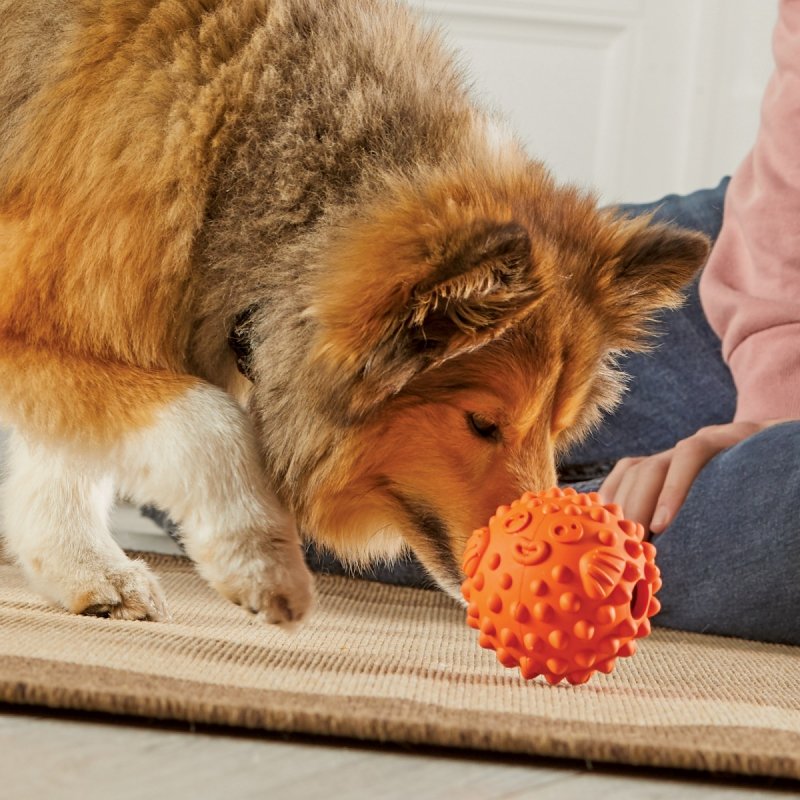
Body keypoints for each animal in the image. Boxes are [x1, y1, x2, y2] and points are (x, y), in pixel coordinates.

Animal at [0, 0, 708, 624]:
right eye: (481, 423)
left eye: (557, 433)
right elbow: (209, 418)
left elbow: (65, 455)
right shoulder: (44, 308)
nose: (588, 584)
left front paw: (83, 569)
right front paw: (258, 558)